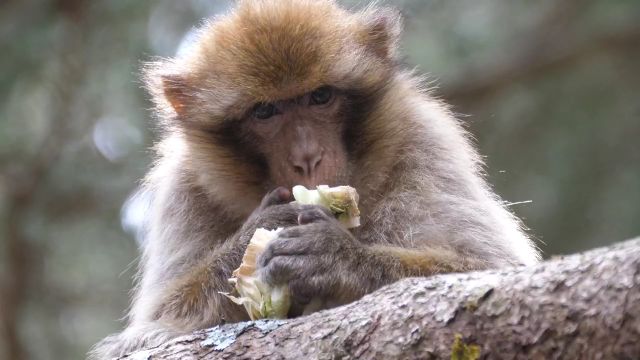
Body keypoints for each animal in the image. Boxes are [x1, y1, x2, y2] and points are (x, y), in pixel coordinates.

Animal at [90, 1, 540, 358]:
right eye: (265, 112)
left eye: (320, 97)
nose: (307, 158)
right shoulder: (184, 186)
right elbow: (160, 317)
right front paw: (256, 235)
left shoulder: (423, 140)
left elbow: (490, 268)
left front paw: (337, 258)